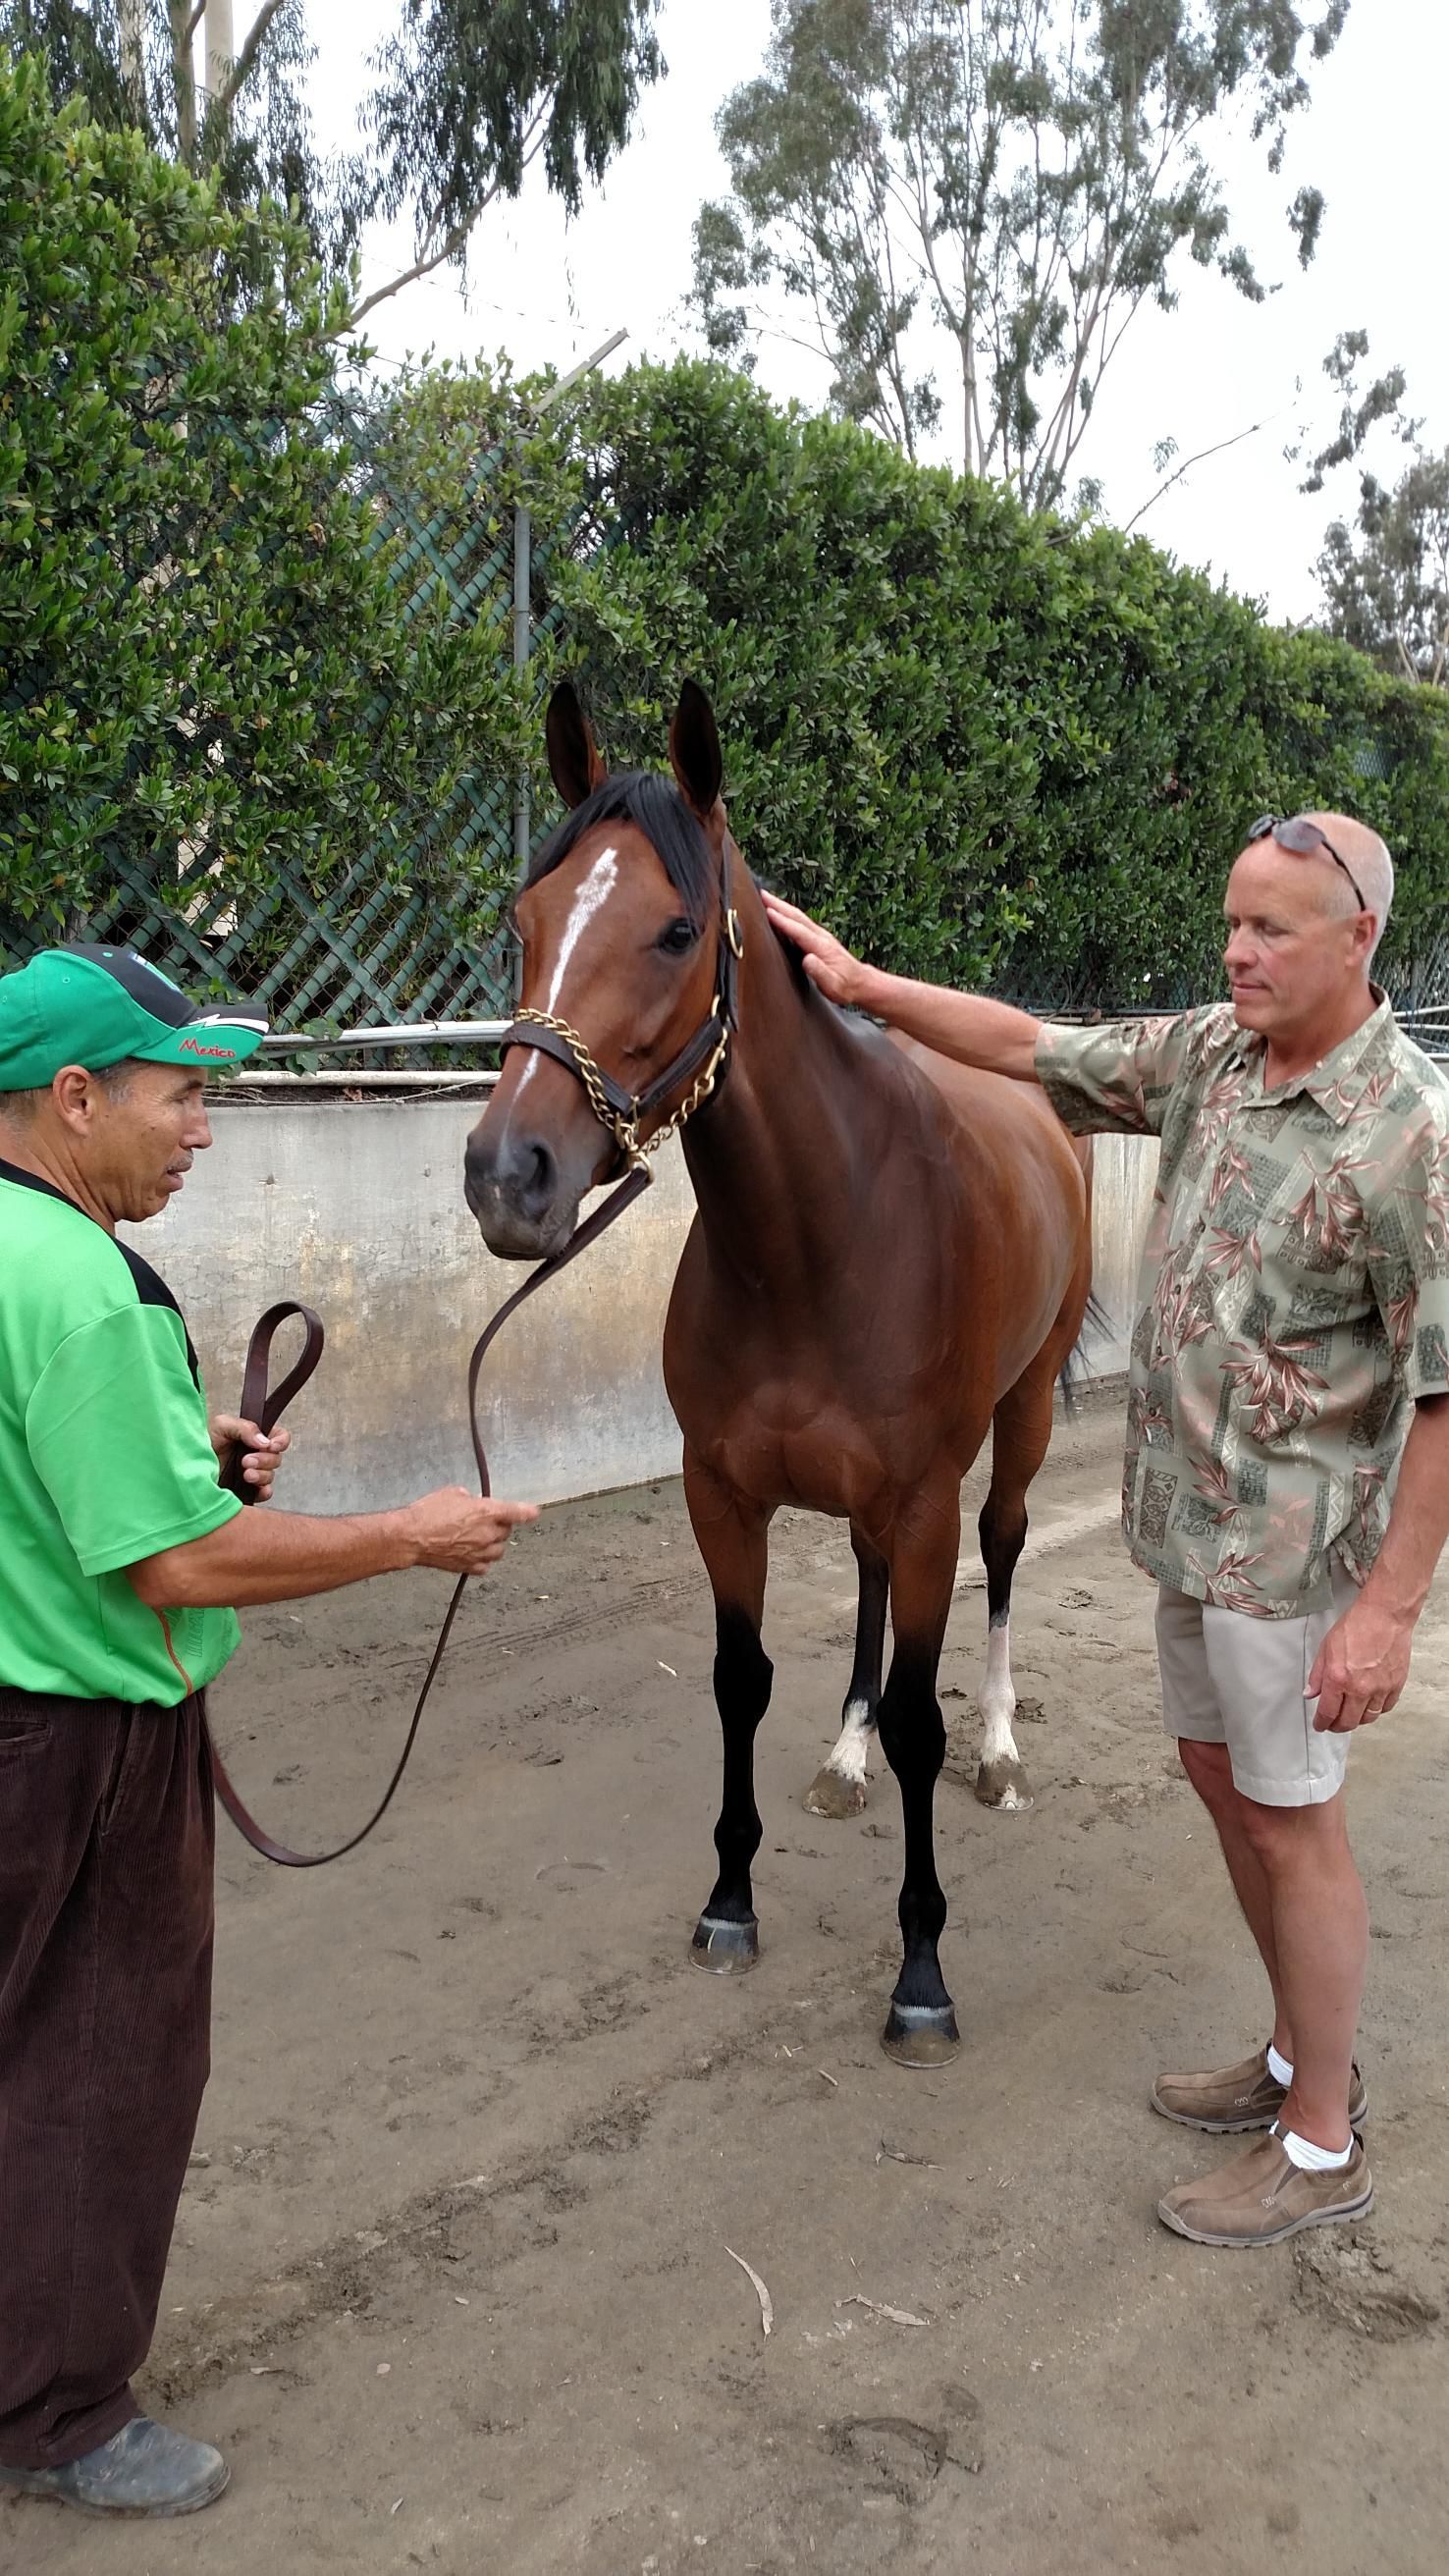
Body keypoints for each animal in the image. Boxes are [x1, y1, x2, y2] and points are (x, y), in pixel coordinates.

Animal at [464, 681, 1094, 2066]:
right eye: (525, 921)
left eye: (675, 929)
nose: (507, 1176)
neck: (825, 1230)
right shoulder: (725, 1491)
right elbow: (739, 1681)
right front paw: (731, 1898)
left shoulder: (924, 1500)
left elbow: (922, 1712)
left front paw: (922, 1973)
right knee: (863, 1587)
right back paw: (846, 1757)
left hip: (1015, 1420)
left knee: (1008, 1549)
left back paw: (1003, 1751)